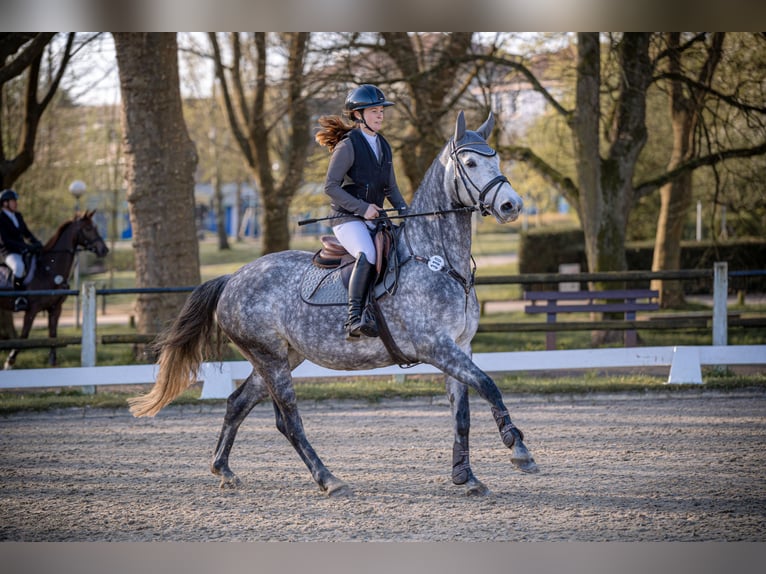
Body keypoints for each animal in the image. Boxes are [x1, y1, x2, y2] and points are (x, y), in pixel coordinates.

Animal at [130, 112, 540, 500]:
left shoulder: (459, 347)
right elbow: (489, 385)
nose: (512, 205)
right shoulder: (436, 347)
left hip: (281, 357)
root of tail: (232, 278)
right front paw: (519, 451)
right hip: (270, 358)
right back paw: (329, 480)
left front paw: (466, 477)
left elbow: (462, 415)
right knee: (289, 421)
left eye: (496, 158)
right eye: (470, 163)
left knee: (236, 403)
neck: (437, 260)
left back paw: (224, 470)